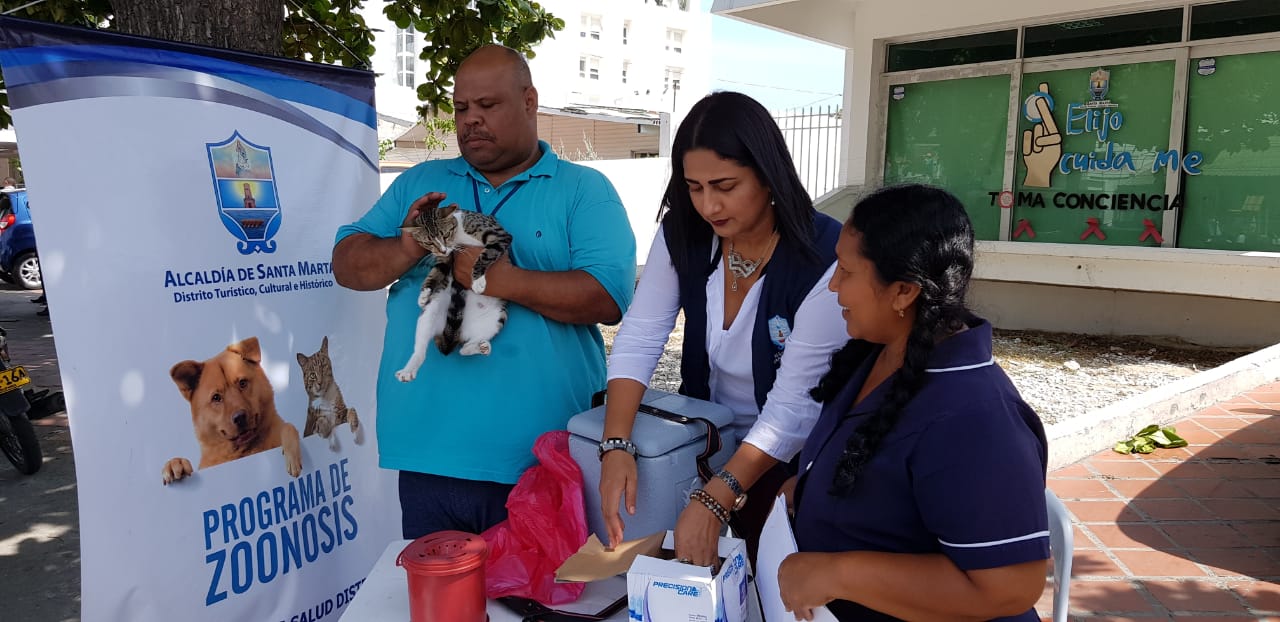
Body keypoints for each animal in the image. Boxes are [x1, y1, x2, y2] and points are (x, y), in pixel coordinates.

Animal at [394, 203, 509, 383]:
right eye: (428, 242)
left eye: (445, 234)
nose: (442, 249)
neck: (458, 233)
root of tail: (459, 332)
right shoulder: (445, 258)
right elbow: (437, 271)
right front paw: (424, 293)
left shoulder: (498, 234)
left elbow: (487, 253)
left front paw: (478, 279)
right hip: (432, 310)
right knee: (422, 347)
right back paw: (409, 369)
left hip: (498, 316)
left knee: (464, 348)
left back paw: (480, 346)